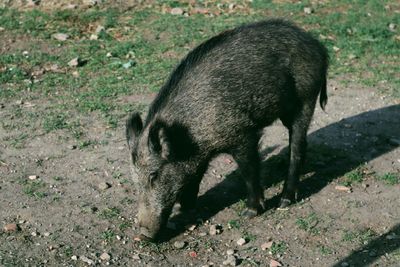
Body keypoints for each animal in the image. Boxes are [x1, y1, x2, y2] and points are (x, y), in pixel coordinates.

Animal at [126, 18, 328, 241]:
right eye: (134, 179)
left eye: (154, 175)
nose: (143, 234)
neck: (189, 134)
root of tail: (318, 46)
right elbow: (195, 175)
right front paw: (184, 208)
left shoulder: (242, 133)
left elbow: (248, 170)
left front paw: (250, 212)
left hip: (306, 99)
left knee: (297, 146)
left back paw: (284, 201)